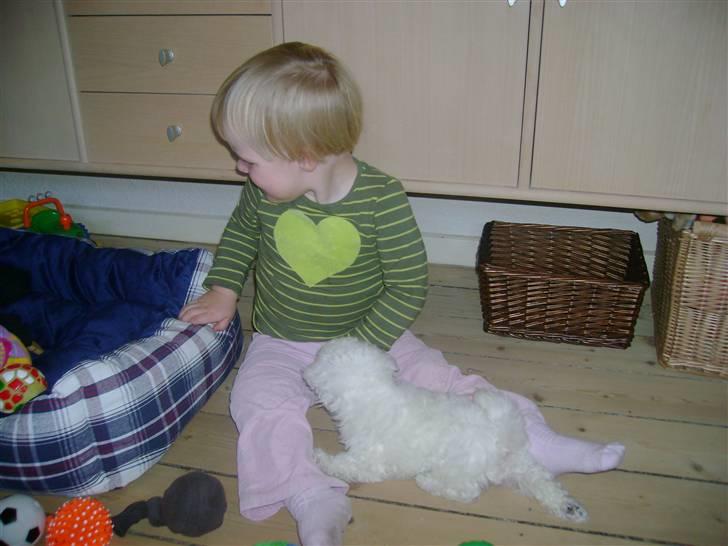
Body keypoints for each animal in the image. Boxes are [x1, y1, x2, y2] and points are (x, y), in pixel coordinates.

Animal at [304, 336, 588, 520]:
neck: (373, 391)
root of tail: (501, 437)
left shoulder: (368, 460)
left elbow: (345, 465)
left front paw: (320, 458)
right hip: (522, 466)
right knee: (542, 482)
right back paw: (569, 508)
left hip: (459, 470)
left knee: (467, 492)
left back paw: (427, 481)